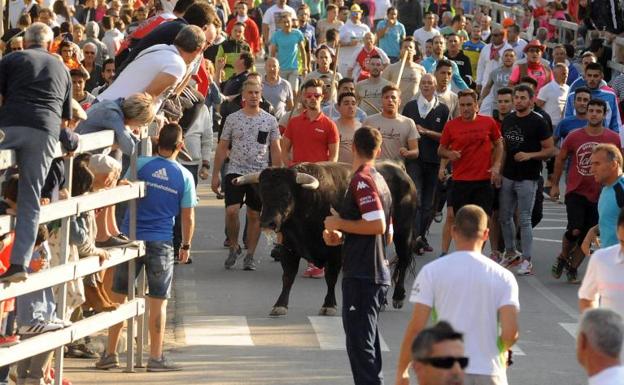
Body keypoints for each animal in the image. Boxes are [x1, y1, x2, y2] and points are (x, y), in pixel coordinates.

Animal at [232, 160, 416, 316]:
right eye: (263, 194)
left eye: (286, 194)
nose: (267, 223)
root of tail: (398, 168)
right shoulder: (288, 247)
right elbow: (288, 276)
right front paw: (280, 305)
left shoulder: (335, 251)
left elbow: (331, 277)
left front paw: (329, 305)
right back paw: (383, 301)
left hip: (404, 232)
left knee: (404, 260)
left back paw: (398, 297)